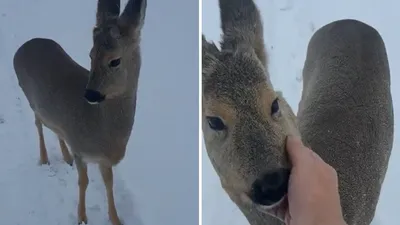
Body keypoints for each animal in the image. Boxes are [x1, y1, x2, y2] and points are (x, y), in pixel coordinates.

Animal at [12, 0, 148, 225]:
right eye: (91, 54)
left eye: (115, 60)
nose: (90, 94)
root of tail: (24, 46)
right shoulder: (80, 149)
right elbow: (83, 181)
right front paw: (82, 218)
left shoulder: (103, 159)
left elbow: (109, 183)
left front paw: (116, 219)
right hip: (29, 97)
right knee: (38, 123)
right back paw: (44, 158)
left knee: (53, 127)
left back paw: (65, 157)